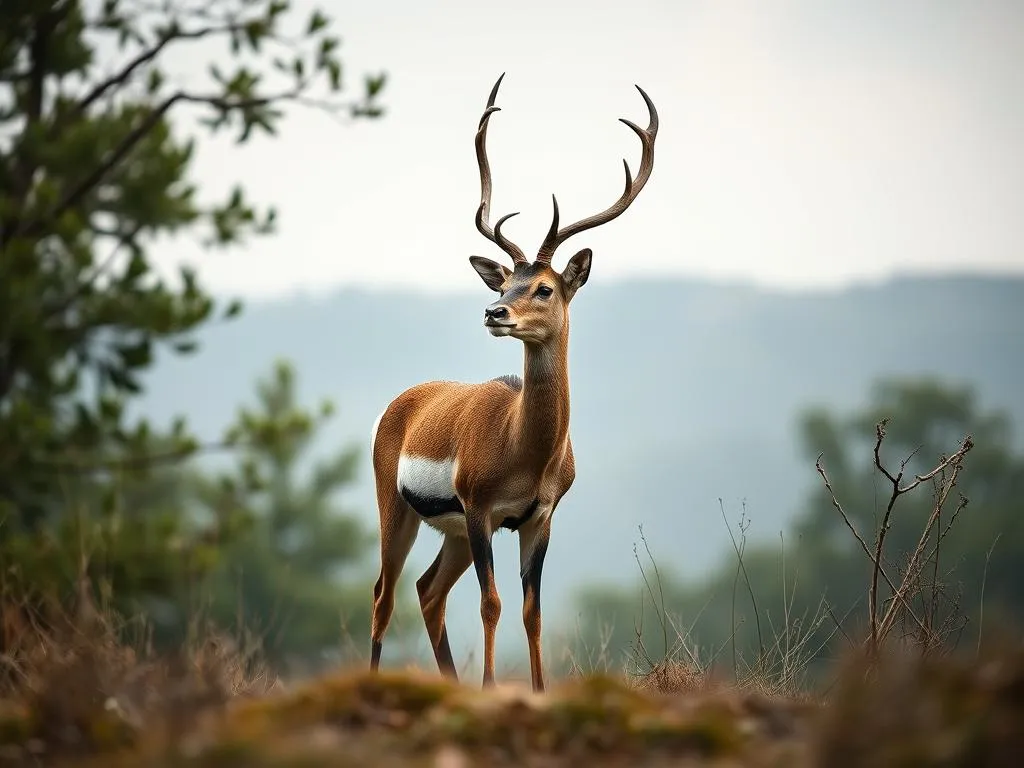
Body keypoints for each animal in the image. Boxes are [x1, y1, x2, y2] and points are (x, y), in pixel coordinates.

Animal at [368, 72, 655, 696]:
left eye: (544, 287)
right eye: (506, 282)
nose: (494, 311)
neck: (524, 446)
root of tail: (400, 403)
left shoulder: (538, 517)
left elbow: (532, 610)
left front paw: (539, 690)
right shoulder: (481, 511)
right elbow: (492, 604)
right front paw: (492, 687)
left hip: (449, 532)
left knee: (426, 591)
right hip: (398, 510)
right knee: (384, 593)